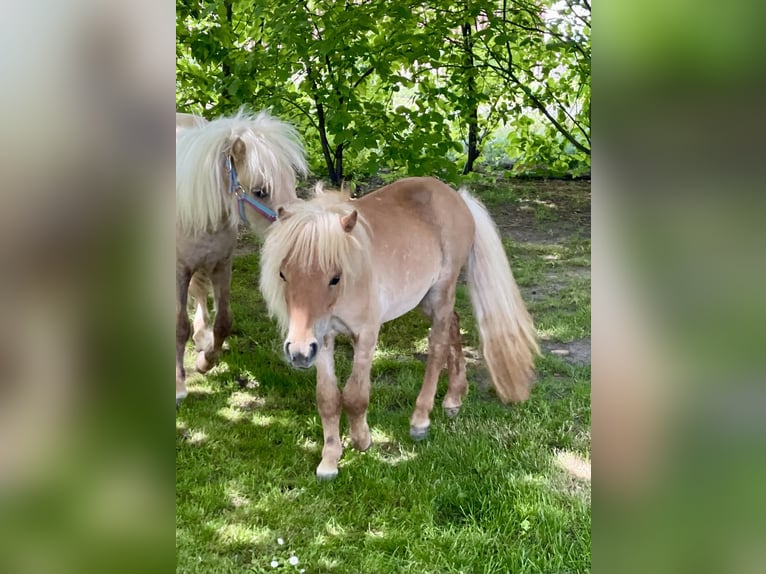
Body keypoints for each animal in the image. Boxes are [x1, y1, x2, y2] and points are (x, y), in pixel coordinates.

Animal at [177, 108, 308, 404]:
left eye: (292, 183)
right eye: (260, 191)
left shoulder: (221, 264)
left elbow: (223, 322)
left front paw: (205, 361)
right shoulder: (177, 271)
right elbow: (179, 327)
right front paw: (178, 386)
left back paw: (201, 337)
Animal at [260, 178, 536, 480]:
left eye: (335, 277)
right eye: (283, 273)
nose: (298, 353)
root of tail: (457, 197)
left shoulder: (366, 336)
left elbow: (355, 396)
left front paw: (362, 440)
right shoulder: (322, 338)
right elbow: (328, 398)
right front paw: (330, 460)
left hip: (441, 292)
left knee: (438, 346)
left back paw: (421, 420)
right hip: (424, 298)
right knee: (454, 324)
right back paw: (454, 398)